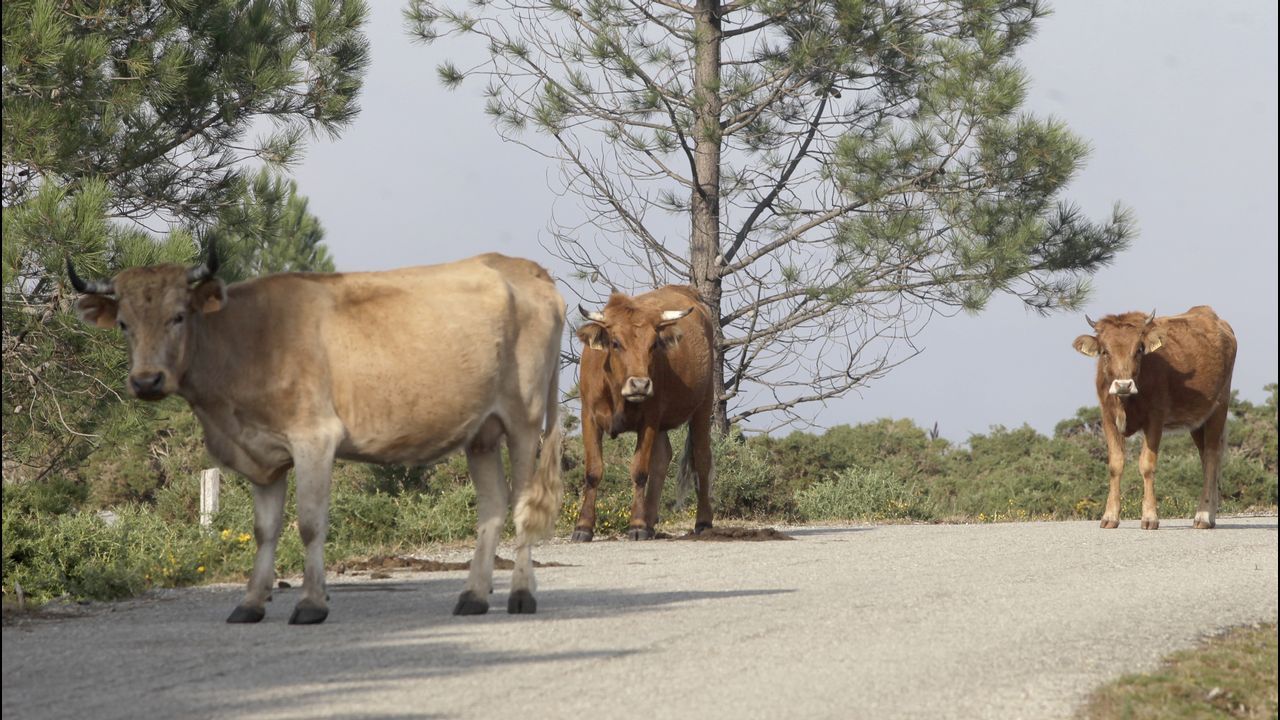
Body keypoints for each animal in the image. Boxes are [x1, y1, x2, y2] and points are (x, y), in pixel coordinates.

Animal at [70, 245, 565, 617]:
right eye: (124, 324)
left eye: (177, 316)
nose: (146, 381)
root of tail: (523, 268)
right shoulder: (263, 455)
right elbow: (264, 529)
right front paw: (251, 603)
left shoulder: (314, 439)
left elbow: (309, 524)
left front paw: (310, 603)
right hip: (481, 432)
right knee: (492, 508)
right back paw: (474, 596)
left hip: (524, 420)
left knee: (522, 504)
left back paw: (522, 594)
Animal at [576, 284, 716, 538]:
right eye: (615, 343)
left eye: (653, 345)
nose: (640, 384)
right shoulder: (588, 417)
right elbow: (593, 472)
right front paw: (583, 527)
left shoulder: (650, 419)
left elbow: (640, 471)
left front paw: (637, 525)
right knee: (662, 458)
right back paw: (651, 522)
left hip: (704, 404)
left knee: (701, 459)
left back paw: (702, 521)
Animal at [1070, 302, 1239, 527]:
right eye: (1105, 351)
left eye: (1139, 350)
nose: (1123, 385)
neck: (1126, 401)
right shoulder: (1107, 418)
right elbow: (1115, 465)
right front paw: (1110, 517)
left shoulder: (1155, 419)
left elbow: (1147, 465)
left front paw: (1150, 517)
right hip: (1197, 419)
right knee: (1206, 457)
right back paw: (1209, 514)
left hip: (1219, 407)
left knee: (1212, 456)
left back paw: (1203, 516)